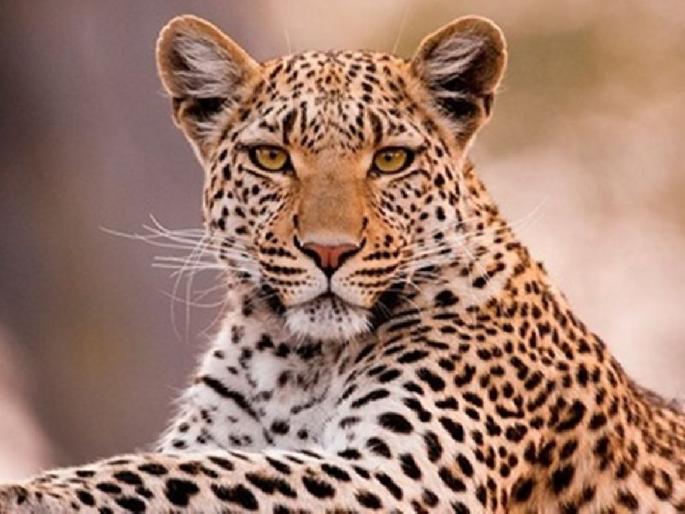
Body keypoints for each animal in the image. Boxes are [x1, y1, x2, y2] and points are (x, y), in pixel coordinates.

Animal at [2, 13, 684, 514]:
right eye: (272, 158)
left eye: (390, 160)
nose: (329, 250)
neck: (296, 361)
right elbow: (188, 462)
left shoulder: (402, 476)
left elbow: (180, 473)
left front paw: (26, 492)